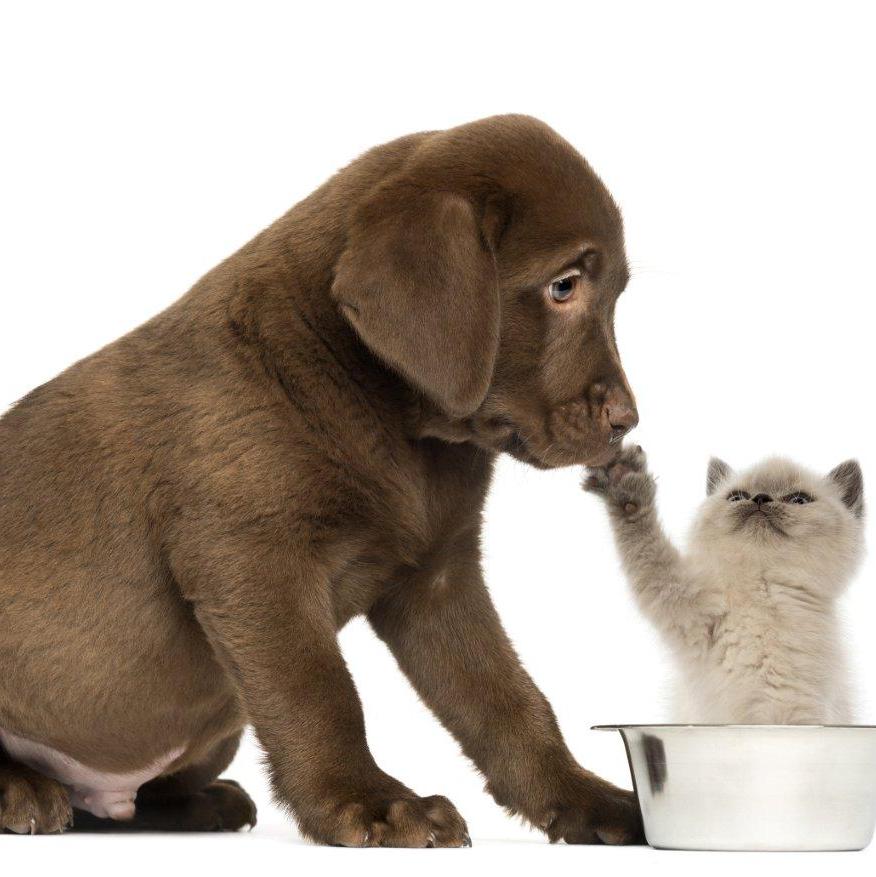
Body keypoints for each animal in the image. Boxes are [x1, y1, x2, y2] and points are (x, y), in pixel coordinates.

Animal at [3, 116, 640, 840]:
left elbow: (509, 699)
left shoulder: (438, 575)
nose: (629, 420)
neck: (403, 430)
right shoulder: (253, 563)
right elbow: (321, 693)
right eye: (564, 286)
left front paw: (582, 797)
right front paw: (371, 802)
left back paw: (203, 802)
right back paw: (22, 790)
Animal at [584, 448, 864, 724]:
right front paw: (624, 485)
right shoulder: (682, 600)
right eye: (737, 497)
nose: (760, 498)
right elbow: (647, 547)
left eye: (799, 500)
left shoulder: (796, 712)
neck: (761, 586)